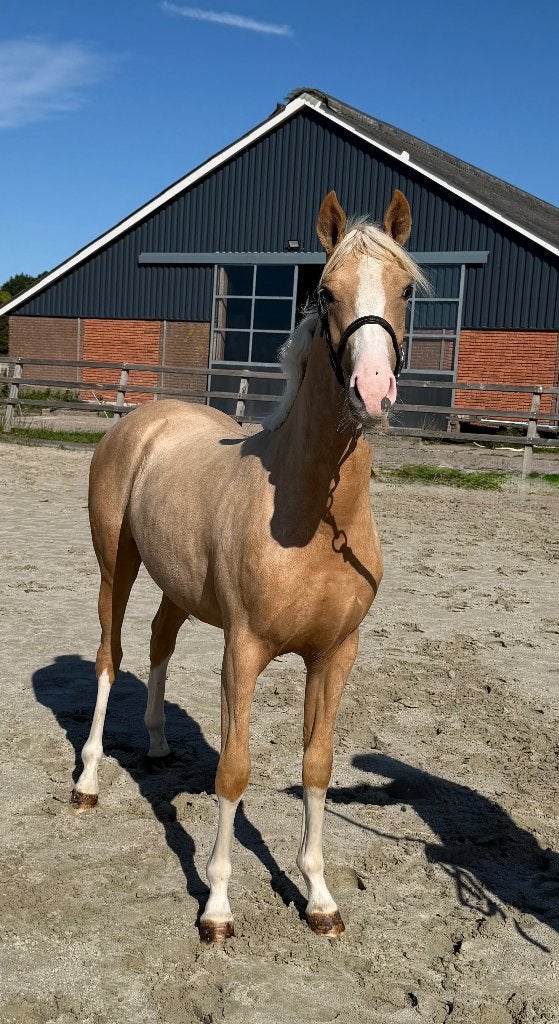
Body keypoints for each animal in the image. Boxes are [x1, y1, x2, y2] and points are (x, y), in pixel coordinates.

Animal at [71, 189, 426, 942]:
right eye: (325, 291)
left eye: (407, 288)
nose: (372, 390)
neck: (310, 515)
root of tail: (143, 419)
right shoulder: (245, 649)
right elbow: (233, 772)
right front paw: (216, 907)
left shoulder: (335, 653)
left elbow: (317, 766)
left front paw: (318, 897)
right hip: (116, 563)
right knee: (111, 656)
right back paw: (86, 783)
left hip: (176, 585)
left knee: (158, 642)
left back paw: (154, 747)